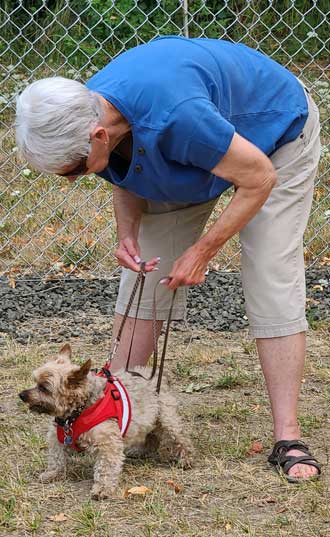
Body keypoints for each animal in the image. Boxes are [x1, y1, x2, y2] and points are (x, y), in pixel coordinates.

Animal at [18, 344, 193, 498]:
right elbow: (56, 457)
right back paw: (142, 450)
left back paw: (185, 459)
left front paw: (102, 488)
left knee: (180, 438)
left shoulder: (107, 444)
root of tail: (157, 376)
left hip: (166, 418)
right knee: (151, 435)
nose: (22, 395)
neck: (77, 412)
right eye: (35, 382)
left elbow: (105, 468)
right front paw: (52, 473)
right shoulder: (58, 436)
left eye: (44, 388)